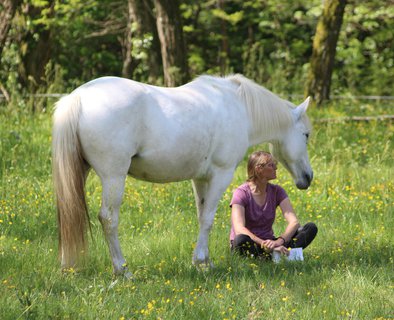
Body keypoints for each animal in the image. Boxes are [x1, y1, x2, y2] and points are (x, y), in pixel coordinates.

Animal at [52, 74, 312, 276]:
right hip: (114, 177)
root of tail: (79, 97)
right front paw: (202, 262)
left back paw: (68, 267)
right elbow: (208, 219)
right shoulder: (220, 175)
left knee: (69, 212)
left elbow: (201, 216)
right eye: (306, 134)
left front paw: (204, 262)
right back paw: (122, 270)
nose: (308, 177)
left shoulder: (200, 179)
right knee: (108, 218)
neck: (239, 107)